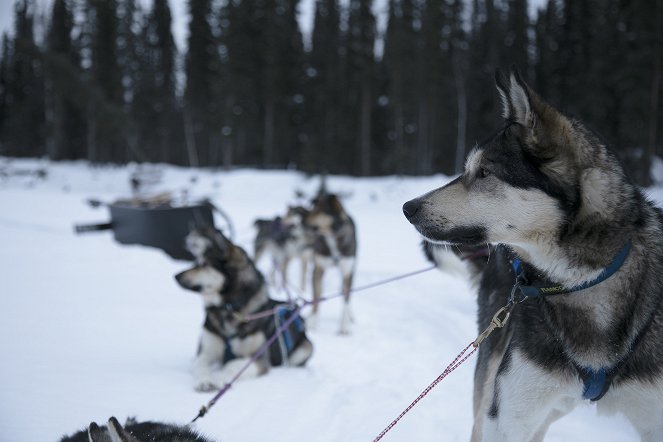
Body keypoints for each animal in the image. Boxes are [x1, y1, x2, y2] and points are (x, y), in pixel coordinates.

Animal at [174, 226, 314, 392]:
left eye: (203, 265)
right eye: (196, 262)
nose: (176, 276)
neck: (227, 308)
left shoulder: (256, 358)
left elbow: (231, 365)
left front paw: (219, 378)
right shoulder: (205, 352)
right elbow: (200, 366)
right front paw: (205, 380)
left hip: (305, 349)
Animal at [306, 192, 358, 334]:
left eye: (319, 211)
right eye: (312, 209)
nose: (303, 221)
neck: (331, 237)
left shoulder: (347, 271)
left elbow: (346, 299)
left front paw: (344, 326)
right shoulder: (318, 269)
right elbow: (316, 297)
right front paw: (312, 322)